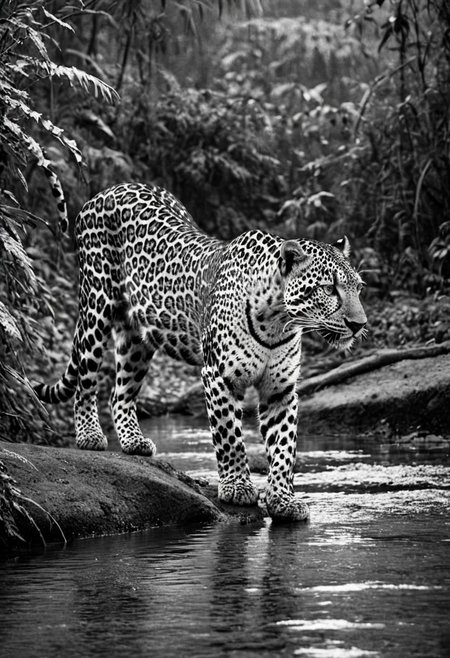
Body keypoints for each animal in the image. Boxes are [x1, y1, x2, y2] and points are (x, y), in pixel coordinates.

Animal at [34, 182, 367, 522]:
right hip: (96, 305)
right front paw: (237, 487)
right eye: (329, 289)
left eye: (359, 288)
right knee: (86, 380)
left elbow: (284, 447)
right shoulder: (219, 376)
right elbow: (229, 436)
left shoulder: (280, 390)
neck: (278, 320)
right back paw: (89, 435)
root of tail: (107, 190)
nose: (359, 324)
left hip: (136, 338)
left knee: (119, 392)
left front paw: (283, 500)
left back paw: (134, 441)